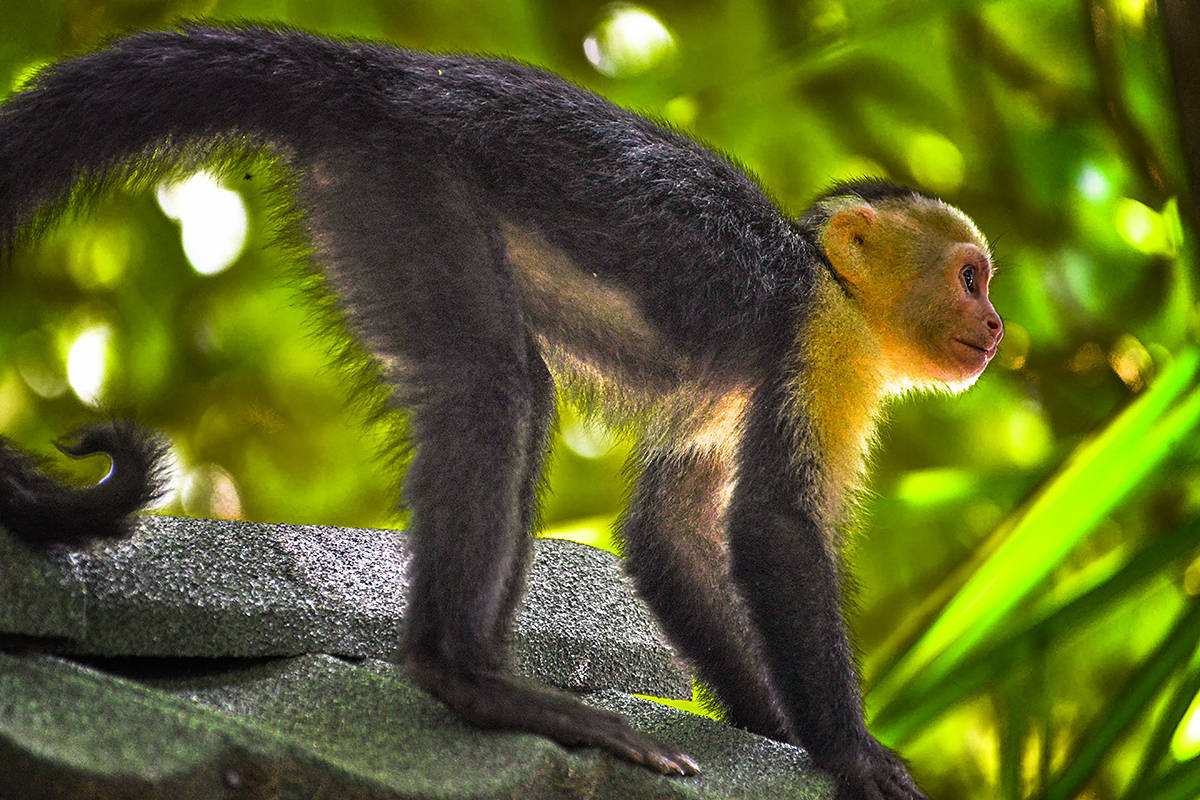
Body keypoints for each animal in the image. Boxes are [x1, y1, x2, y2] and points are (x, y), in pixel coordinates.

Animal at [0, 23, 1003, 800]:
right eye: (971, 278)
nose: (996, 325)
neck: (825, 281)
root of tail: (384, 73)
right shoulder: (820, 340)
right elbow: (773, 528)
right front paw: (847, 750)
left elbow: (672, 529)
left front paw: (772, 725)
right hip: (407, 184)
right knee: (494, 385)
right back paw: (470, 678)